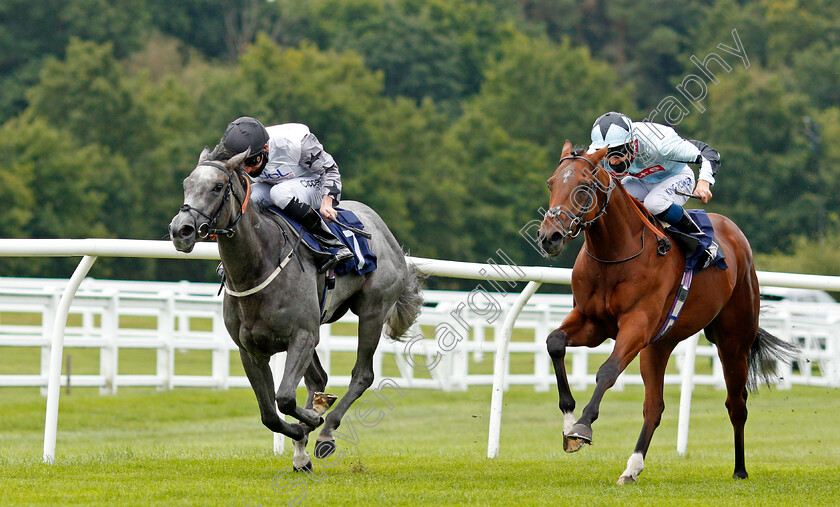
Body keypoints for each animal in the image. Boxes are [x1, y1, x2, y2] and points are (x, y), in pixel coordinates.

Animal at [170, 147, 424, 472]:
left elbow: (285, 398)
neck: (259, 265)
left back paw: (326, 431)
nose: (181, 230)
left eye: (217, 187)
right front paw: (301, 433)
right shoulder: (251, 349)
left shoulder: (301, 335)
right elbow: (269, 413)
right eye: (186, 183)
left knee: (362, 374)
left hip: (372, 311)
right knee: (318, 378)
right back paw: (305, 441)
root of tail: (384, 231)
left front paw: (312, 422)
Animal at [536, 142, 796, 484]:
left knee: (736, 404)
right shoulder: (592, 323)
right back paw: (632, 467)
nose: (549, 237)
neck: (615, 252)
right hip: (659, 345)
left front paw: (582, 426)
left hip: (733, 341)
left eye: (583, 187)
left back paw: (740, 469)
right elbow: (554, 342)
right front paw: (568, 424)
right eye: (551, 183)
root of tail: (735, 234)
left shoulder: (637, 324)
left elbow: (607, 370)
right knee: (654, 407)